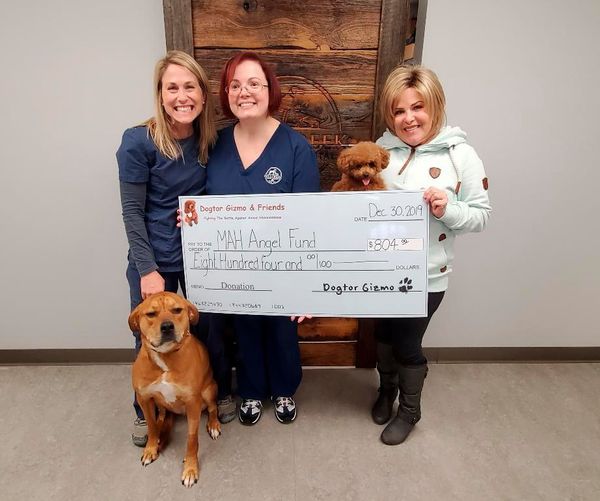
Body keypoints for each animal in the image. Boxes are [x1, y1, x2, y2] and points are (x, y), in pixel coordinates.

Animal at [129, 292, 220, 486]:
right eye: (151, 314)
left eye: (177, 310)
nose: (167, 326)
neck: (165, 358)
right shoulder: (144, 398)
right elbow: (151, 427)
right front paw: (151, 449)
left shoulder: (193, 403)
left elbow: (192, 439)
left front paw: (190, 467)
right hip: (161, 404)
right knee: (162, 418)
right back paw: (161, 437)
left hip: (209, 390)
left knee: (212, 408)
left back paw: (213, 424)